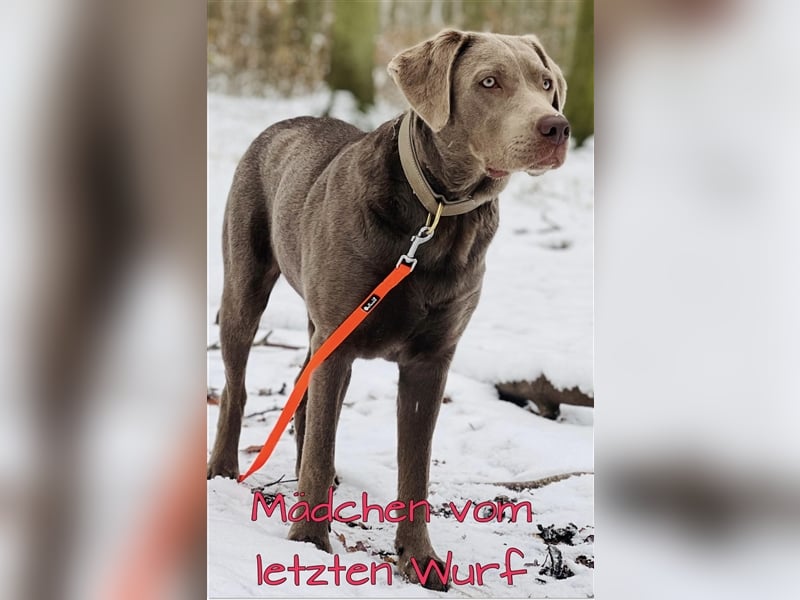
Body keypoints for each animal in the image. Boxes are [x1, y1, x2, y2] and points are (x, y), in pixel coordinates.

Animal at [206, 30, 568, 588]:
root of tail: (281, 124)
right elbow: (321, 448)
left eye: (546, 83)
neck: (439, 216)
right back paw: (223, 468)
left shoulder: (430, 360)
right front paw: (309, 543)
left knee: (306, 394)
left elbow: (414, 470)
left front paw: (420, 560)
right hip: (248, 285)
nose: (557, 127)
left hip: (324, 325)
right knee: (238, 387)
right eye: (489, 82)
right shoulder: (339, 340)